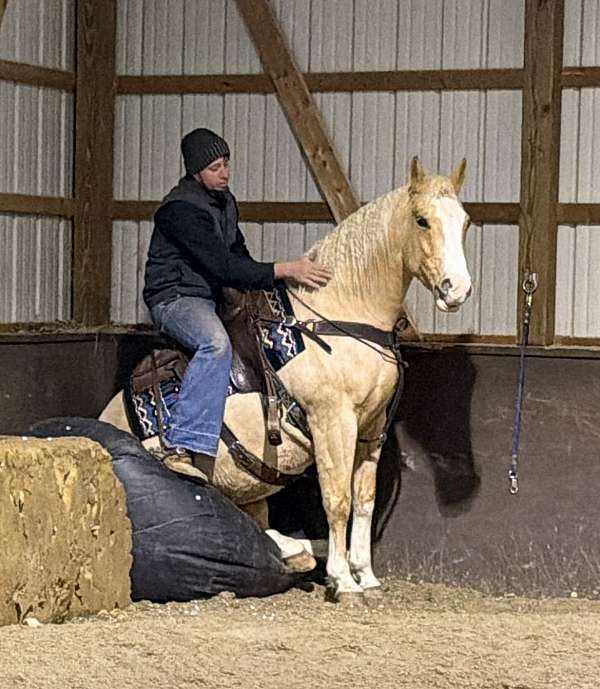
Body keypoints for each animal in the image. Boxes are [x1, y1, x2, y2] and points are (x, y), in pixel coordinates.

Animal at [100, 157, 472, 604]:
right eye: (421, 220)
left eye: (465, 221)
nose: (457, 289)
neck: (338, 314)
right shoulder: (333, 421)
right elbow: (338, 499)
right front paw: (344, 581)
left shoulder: (372, 428)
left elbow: (364, 500)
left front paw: (366, 575)